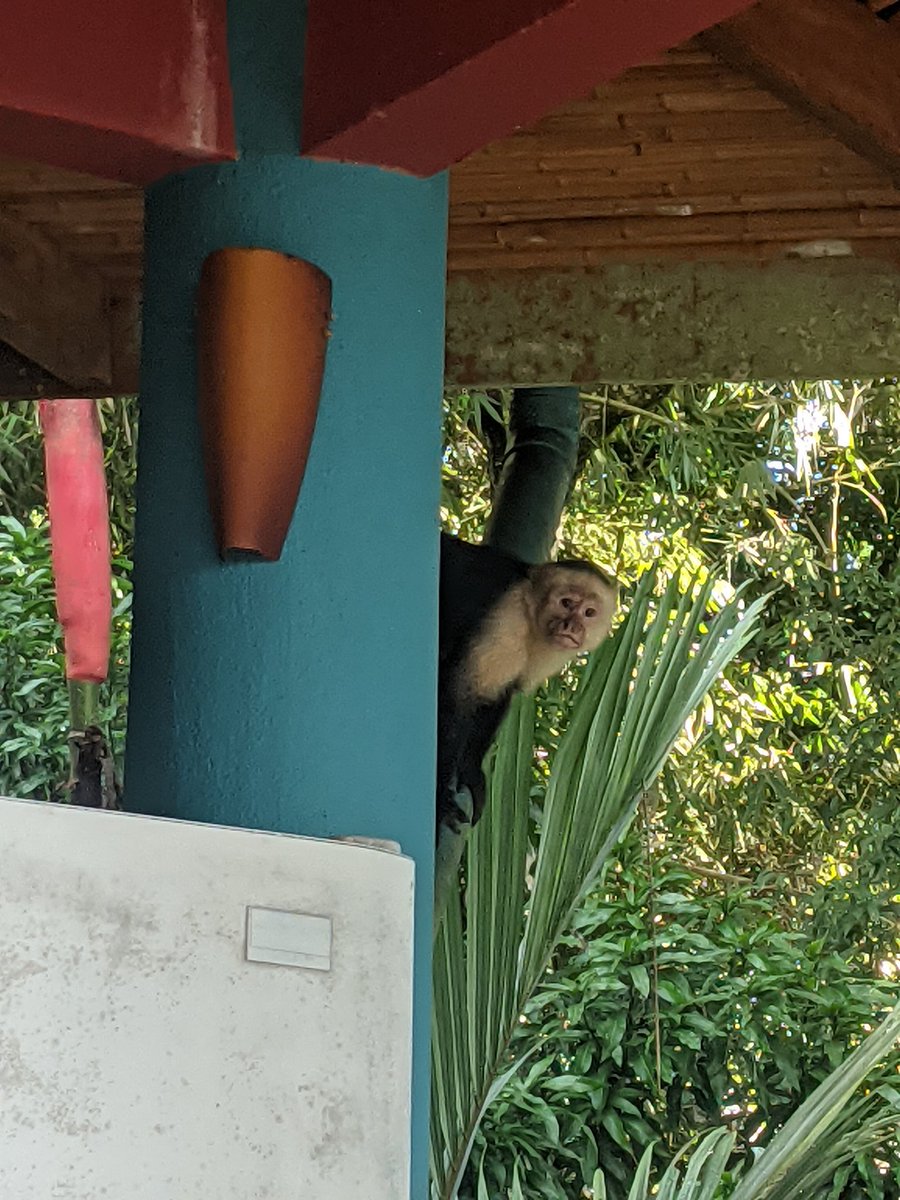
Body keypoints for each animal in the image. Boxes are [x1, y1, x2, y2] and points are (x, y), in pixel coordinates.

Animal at [437, 533, 617, 833]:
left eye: (589, 612)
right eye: (566, 603)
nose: (571, 627)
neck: (530, 616)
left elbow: (497, 697)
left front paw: (471, 770)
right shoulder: (507, 620)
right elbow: (458, 694)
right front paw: (440, 798)